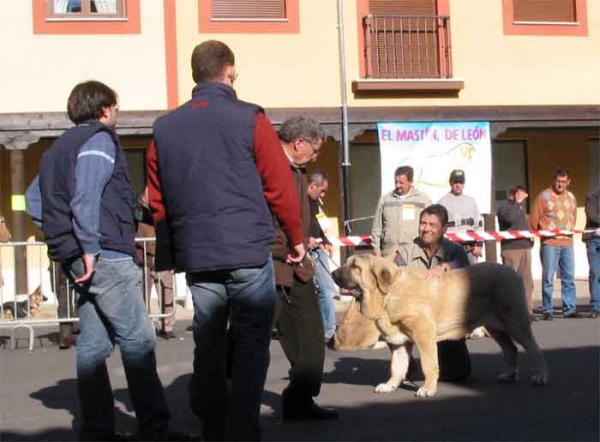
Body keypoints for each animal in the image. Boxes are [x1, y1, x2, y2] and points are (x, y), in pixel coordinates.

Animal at [330, 254, 552, 398]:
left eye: (355, 267)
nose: (332, 273)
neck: (387, 294)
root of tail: (512, 272)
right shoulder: (399, 343)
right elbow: (397, 367)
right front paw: (390, 385)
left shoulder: (424, 334)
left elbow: (429, 365)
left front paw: (428, 388)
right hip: (495, 327)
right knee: (510, 348)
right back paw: (509, 374)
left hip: (515, 322)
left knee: (534, 348)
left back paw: (541, 375)